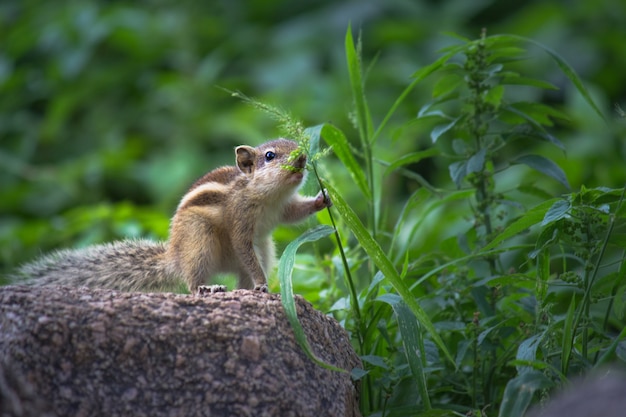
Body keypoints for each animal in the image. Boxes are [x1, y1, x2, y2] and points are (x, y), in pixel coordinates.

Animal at [13, 139, 332, 292]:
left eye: (294, 144)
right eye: (269, 156)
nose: (303, 158)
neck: (268, 195)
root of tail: (174, 257)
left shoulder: (282, 208)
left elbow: (294, 214)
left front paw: (323, 199)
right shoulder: (239, 220)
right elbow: (244, 247)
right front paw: (262, 282)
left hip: (265, 248)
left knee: (242, 278)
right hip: (200, 241)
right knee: (192, 281)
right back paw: (210, 287)